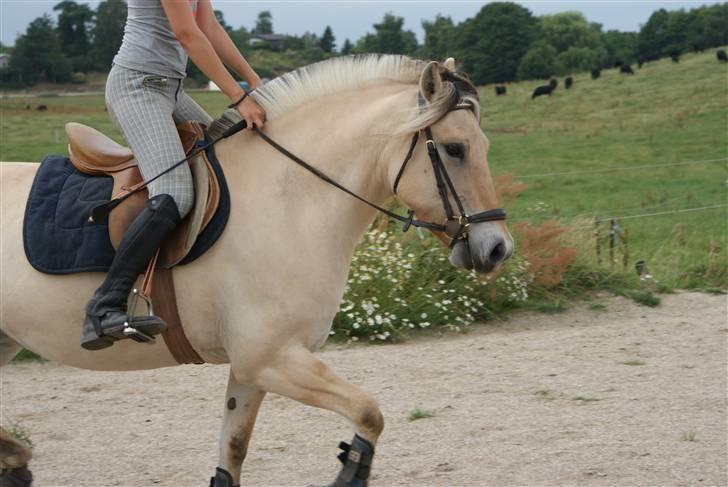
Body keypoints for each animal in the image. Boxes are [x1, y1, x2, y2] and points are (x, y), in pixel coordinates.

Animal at [0, 54, 512, 487]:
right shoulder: (271, 358)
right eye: (454, 148)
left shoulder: (252, 369)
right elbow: (369, 411)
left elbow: (234, 449)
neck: (290, 198)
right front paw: (351, 472)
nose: (498, 248)